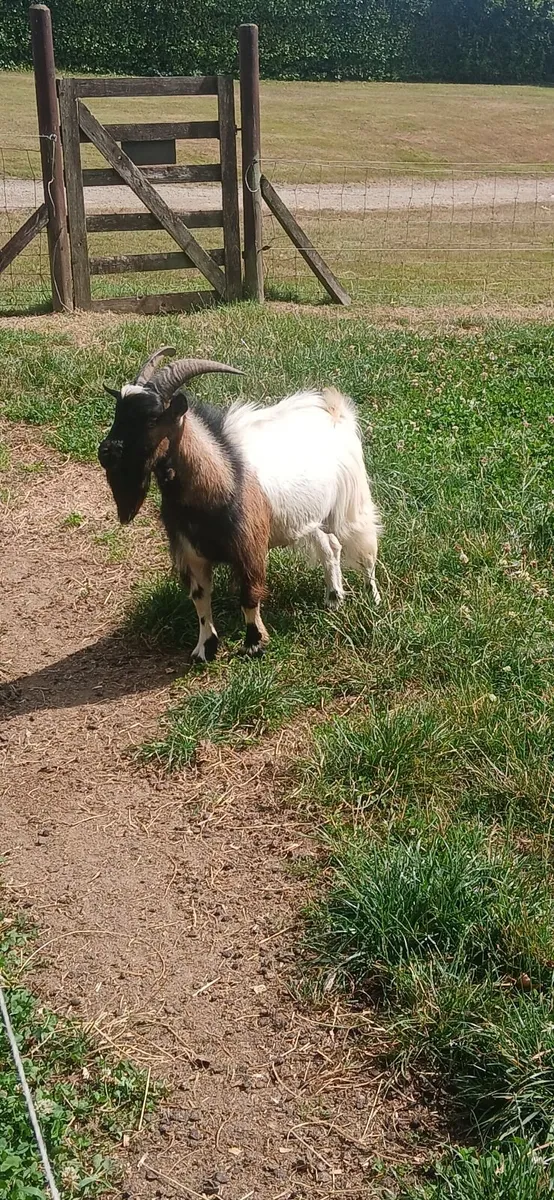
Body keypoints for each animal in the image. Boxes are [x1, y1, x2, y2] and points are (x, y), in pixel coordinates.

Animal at [98, 347, 381, 662]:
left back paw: (373, 598)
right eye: (118, 413)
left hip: (351, 503)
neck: (223, 475)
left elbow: (249, 596)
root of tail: (332, 410)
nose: (106, 452)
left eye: (152, 419)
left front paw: (254, 644)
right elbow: (200, 599)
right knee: (330, 547)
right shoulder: (191, 553)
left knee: (365, 546)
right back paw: (333, 599)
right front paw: (204, 649)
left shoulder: (249, 547)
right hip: (310, 517)